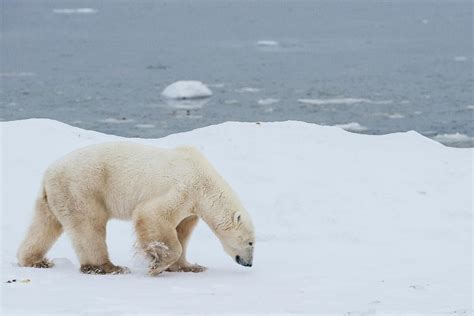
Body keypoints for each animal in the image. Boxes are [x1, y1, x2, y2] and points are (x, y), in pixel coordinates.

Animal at [16, 142, 256, 276]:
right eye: (251, 243)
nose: (249, 263)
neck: (205, 181)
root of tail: (48, 174)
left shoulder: (191, 205)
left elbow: (182, 229)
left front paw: (190, 266)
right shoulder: (182, 188)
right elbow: (152, 215)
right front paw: (157, 265)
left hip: (55, 196)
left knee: (45, 225)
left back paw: (35, 260)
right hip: (82, 188)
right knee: (89, 226)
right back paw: (108, 267)